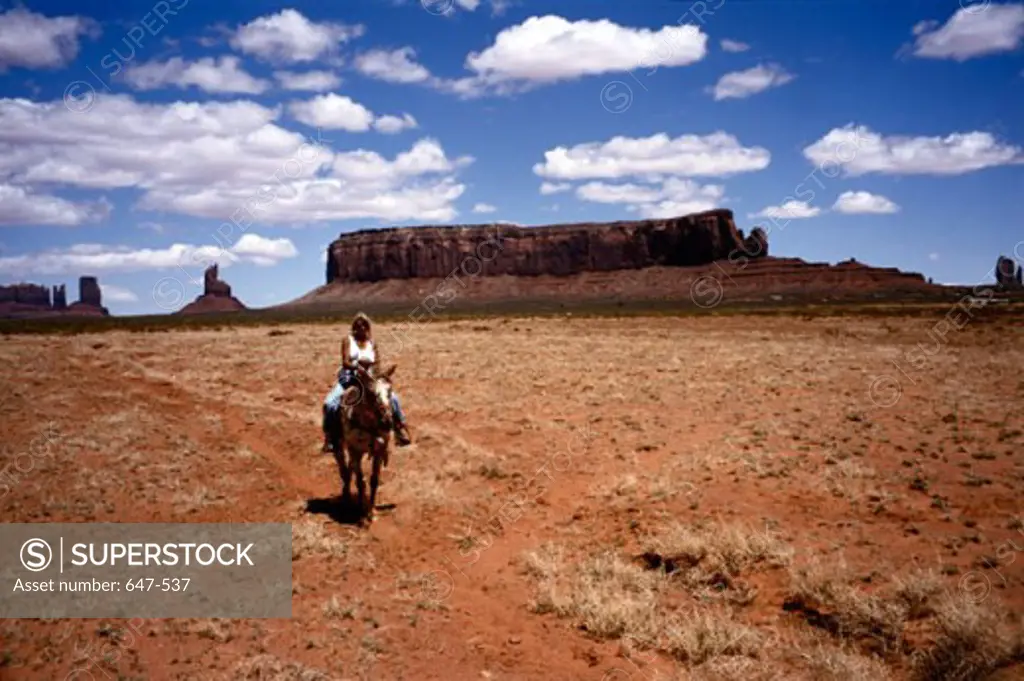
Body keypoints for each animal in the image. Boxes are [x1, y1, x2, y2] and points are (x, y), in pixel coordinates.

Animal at [327, 364, 395, 522]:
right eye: (371, 393)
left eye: (390, 390)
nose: (387, 422)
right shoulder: (355, 450)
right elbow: (360, 481)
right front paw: (362, 513)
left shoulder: (378, 452)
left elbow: (374, 480)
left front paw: (372, 510)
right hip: (340, 447)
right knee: (344, 470)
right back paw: (346, 497)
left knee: (349, 468)